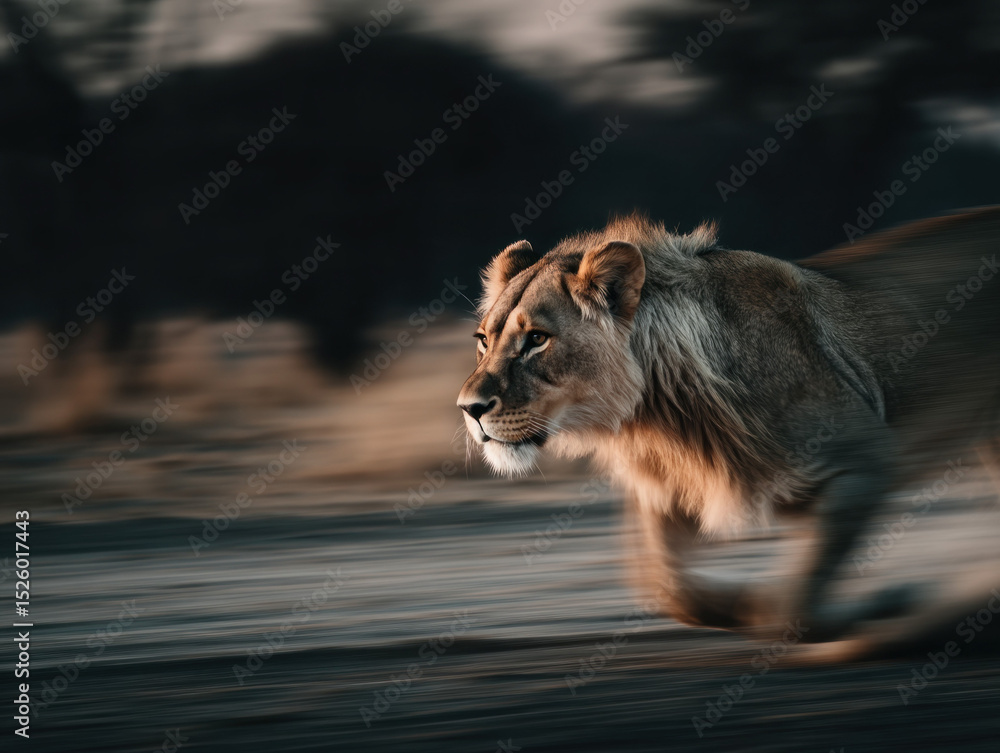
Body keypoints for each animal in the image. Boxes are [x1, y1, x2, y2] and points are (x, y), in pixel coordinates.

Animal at [457, 207, 1000, 646]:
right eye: (483, 340)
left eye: (537, 339)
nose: (469, 408)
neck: (654, 419)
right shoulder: (673, 488)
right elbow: (667, 587)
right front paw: (740, 606)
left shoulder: (867, 458)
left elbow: (790, 606)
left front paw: (877, 609)